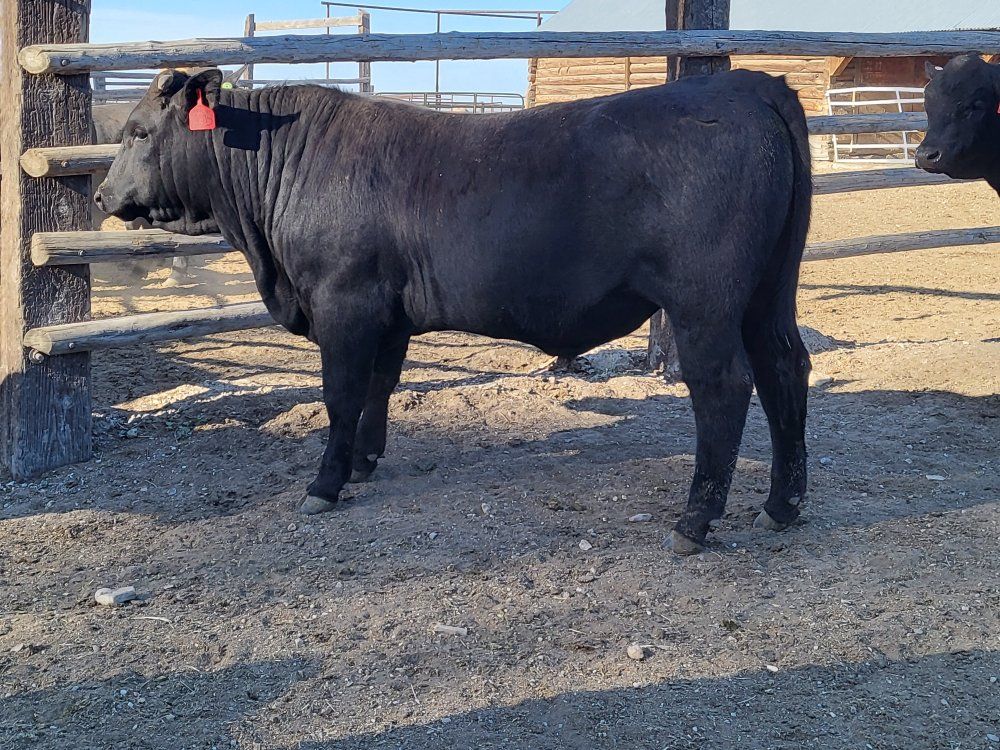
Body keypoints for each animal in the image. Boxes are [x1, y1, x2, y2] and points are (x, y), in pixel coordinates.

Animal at [94, 68, 813, 554]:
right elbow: (378, 388)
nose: (101, 194)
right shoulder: (388, 314)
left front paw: (325, 483)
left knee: (724, 389)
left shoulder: (344, 303)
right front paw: (364, 461)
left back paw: (695, 520)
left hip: (703, 304)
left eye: (138, 131)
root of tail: (745, 85)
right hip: (768, 295)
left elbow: (340, 394)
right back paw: (782, 503)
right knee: (785, 371)